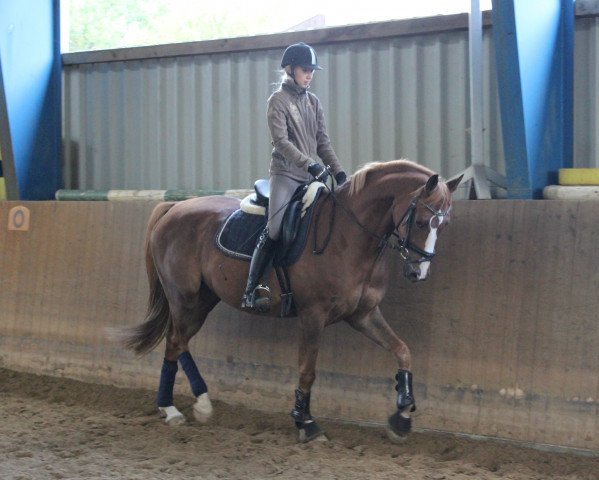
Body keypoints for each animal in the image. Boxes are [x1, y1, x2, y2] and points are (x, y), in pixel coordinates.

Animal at [118, 160, 464, 442]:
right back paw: (170, 409)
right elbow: (307, 370)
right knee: (175, 341)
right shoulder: (313, 315)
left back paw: (201, 404)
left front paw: (402, 416)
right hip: (185, 297)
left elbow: (403, 351)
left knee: (181, 342)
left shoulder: (363, 314)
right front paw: (306, 423)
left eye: (445, 225)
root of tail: (174, 208)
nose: (418, 272)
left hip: (203, 298)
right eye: (420, 221)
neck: (348, 237)